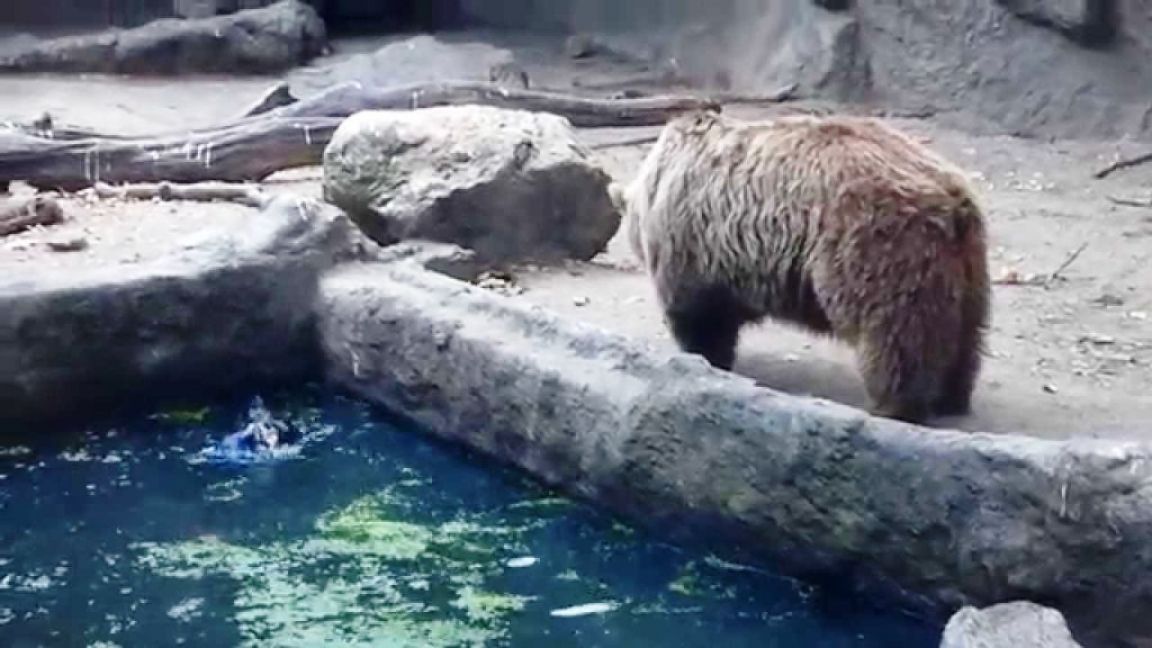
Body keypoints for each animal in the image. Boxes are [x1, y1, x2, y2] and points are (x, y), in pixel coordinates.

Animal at [618, 110, 990, 424]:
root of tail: (950, 197)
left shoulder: (690, 243)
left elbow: (699, 315)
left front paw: (705, 358)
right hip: (965, 263)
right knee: (965, 332)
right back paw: (950, 396)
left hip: (874, 242)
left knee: (895, 333)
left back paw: (894, 405)